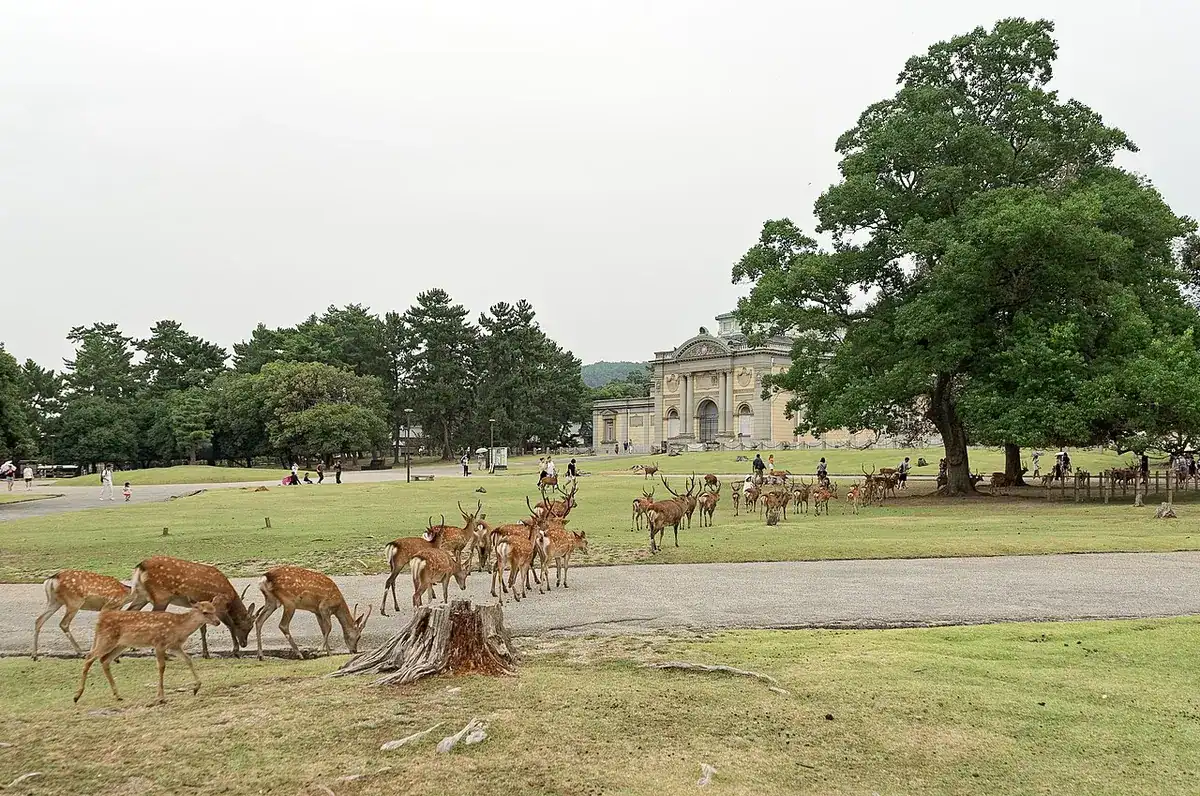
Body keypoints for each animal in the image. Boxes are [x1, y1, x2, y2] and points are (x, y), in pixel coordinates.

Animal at [74, 600, 222, 705]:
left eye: (214, 610)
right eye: (205, 612)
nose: (218, 622)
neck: (179, 627)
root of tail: (100, 618)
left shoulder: (174, 646)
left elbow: (188, 660)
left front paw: (196, 687)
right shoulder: (159, 643)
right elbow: (161, 667)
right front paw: (161, 697)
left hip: (120, 644)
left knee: (104, 660)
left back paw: (118, 695)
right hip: (106, 639)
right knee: (89, 657)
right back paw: (77, 696)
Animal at [126, 556, 255, 659]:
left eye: (251, 627)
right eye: (247, 627)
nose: (244, 644)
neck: (230, 598)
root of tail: (140, 566)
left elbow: (203, 628)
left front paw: (205, 654)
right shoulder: (219, 604)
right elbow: (230, 625)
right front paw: (235, 651)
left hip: (141, 595)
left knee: (130, 611)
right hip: (161, 597)